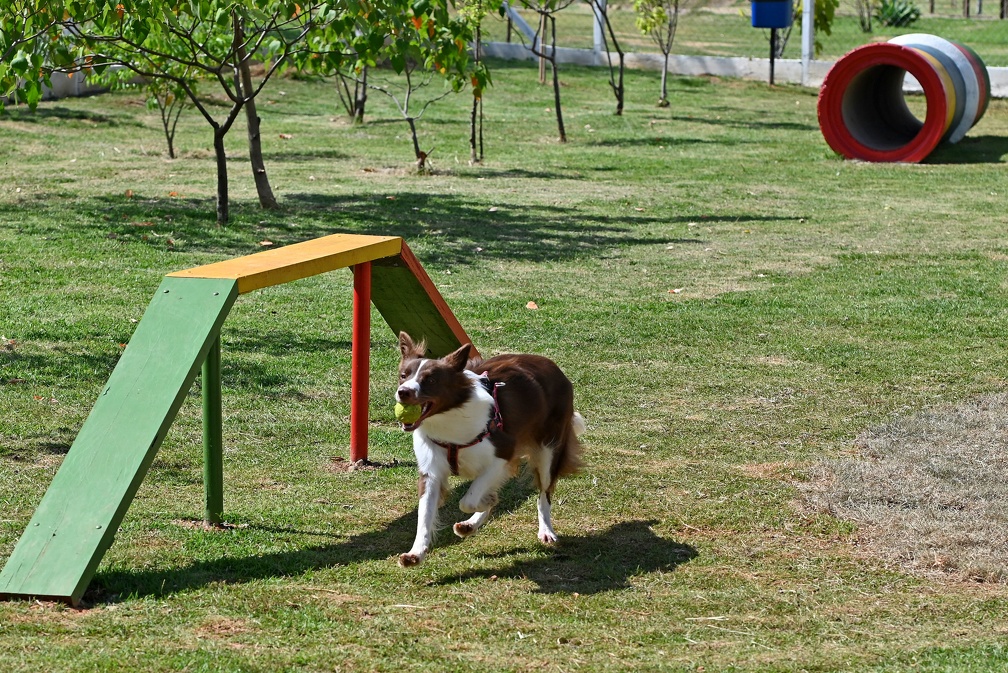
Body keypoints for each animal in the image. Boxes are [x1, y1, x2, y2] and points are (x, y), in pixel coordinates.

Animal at [393, 334, 584, 564]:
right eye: (404, 375)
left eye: (430, 380)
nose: (403, 392)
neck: (447, 418)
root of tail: (552, 365)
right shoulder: (431, 471)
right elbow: (425, 514)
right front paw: (416, 553)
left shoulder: (503, 453)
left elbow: (468, 499)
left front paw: (485, 501)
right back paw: (470, 524)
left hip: (549, 450)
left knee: (544, 495)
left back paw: (546, 530)